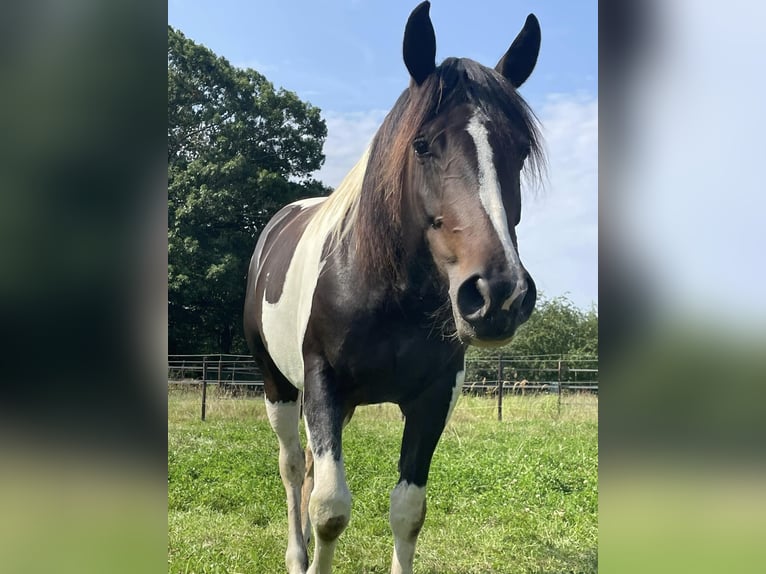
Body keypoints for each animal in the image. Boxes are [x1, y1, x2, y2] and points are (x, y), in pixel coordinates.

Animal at [246, 2, 544, 572]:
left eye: (519, 151)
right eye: (422, 145)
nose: (498, 294)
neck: (386, 293)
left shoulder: (434, 396)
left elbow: (408, 510)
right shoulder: (321, 381)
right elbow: (330, 510)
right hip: (280, 386)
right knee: (293, 468)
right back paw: (296, 555)